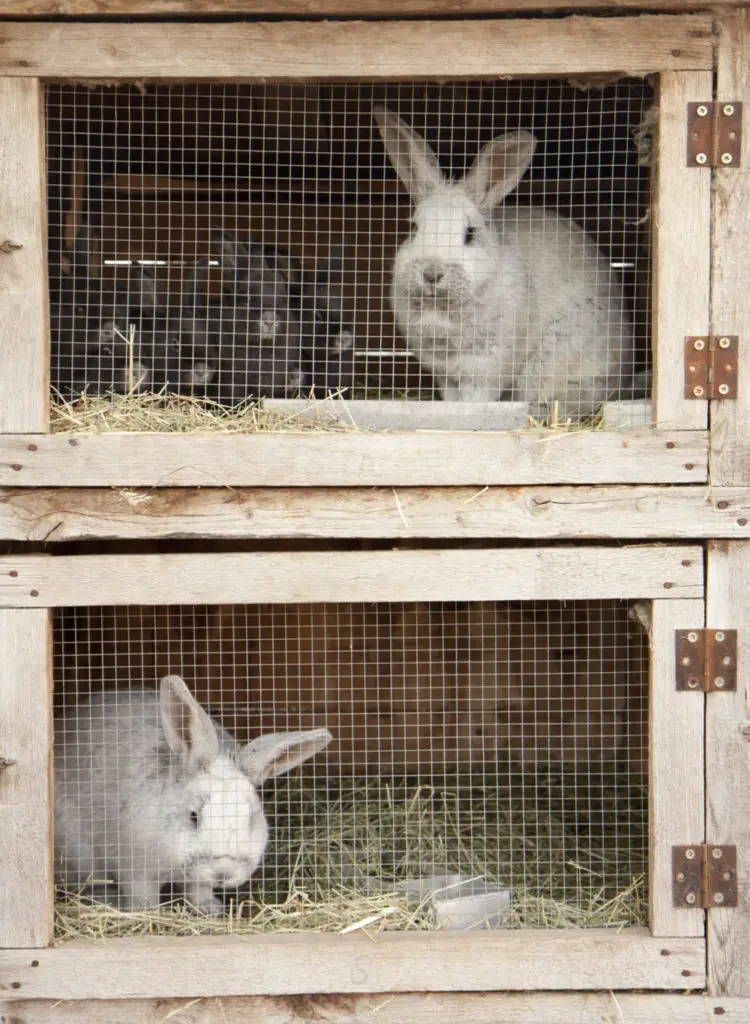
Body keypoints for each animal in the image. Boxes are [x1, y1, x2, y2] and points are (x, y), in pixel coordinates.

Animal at [54, 671, 331, 913]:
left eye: (251, 818)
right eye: (193, 817)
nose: (223, 872)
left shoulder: (194, 880)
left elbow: (198, 890)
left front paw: (211, 909)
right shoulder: (135, 870)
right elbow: (143, 896)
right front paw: (149, 913)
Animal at [372, 104, 635, 419]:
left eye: (470, 233)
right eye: (414, 228)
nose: (432, 273)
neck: (442, 308)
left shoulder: (486, 366)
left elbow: (476, 399)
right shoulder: (446, 373)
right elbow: (451, 398)